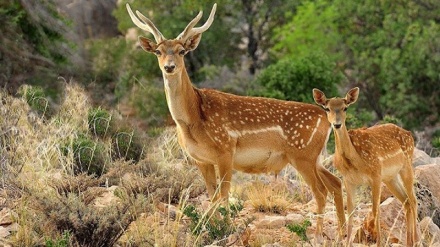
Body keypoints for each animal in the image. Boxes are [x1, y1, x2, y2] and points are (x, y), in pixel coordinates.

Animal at [127, 1, 348, 237]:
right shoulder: (201, 159)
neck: (193, 119)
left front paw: (224, 229)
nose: (169, 66)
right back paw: (342, 232)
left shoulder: (225, 149)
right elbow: (212, 195)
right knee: (335, 183)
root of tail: (325, 117)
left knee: (321, 191)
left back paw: (318, 234)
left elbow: (222, 195)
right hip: (315, 157)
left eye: (182, 51)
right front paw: (212, 228)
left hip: (303, 154)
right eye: (158, 51)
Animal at [312, 88, 418, 246]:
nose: (337, 124)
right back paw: (409, 242)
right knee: (406, 201)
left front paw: (379, 242)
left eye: (345, 107)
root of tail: (409, 134)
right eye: (327, 108)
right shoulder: (348, 180)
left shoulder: (375, 174)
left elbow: (375, 210)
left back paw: (418, 241)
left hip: (407, 165)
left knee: (413, 200)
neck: (355, 161)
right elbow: (351, 212)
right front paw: (347, 242)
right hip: (390, 177)